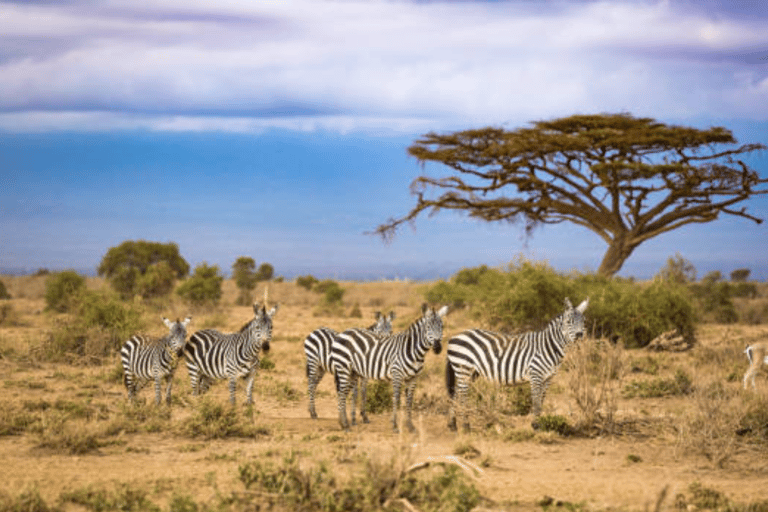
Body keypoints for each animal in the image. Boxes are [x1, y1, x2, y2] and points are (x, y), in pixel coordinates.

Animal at [332, 304, 450, 432]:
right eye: (428, 327)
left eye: (442, 326)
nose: (438, 348)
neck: (414, 351)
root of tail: (344, 332)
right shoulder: (397, 373)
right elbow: (396, 398)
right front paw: (395, 425)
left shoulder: (413, 378)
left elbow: (409, 401)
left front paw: (410, 426)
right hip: (343, 368)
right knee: (342, 393)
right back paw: (345, 425)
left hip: (352, 372)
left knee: (344, 393)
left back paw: (342, 422)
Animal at [444, 296, 588, 432]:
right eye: (569, 322)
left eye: (583, 322)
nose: (579, 335)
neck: (549, 346)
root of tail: (455, 336)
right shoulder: (535, 374)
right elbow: (536, 402)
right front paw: (536, 426)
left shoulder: (548, 378)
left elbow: (541, 400)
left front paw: (540, 424)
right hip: (463, 368)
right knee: (462, 396)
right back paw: (466, 426)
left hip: (471, 373)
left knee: (455, 394)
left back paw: (453, 424)